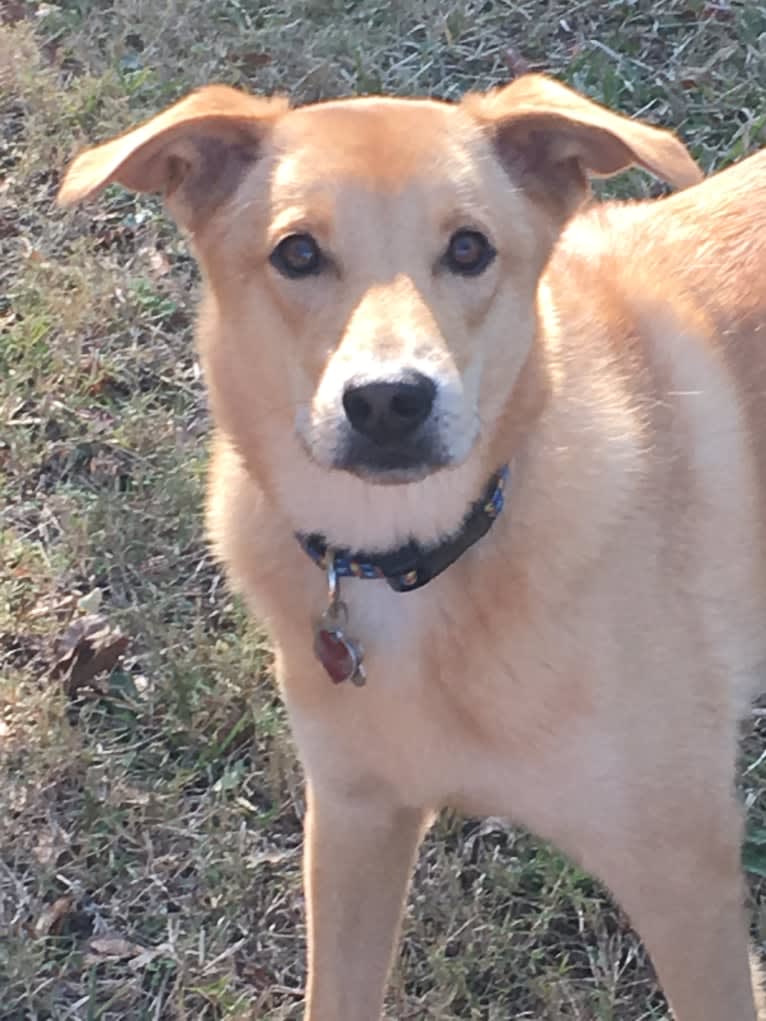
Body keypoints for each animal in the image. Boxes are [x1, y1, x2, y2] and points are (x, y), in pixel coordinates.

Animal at [58, 75, 766, 1016]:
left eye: (469, 248)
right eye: (297, 253)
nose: (389, 399)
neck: (417, 560)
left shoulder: (685, 876)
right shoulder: (355, 819)